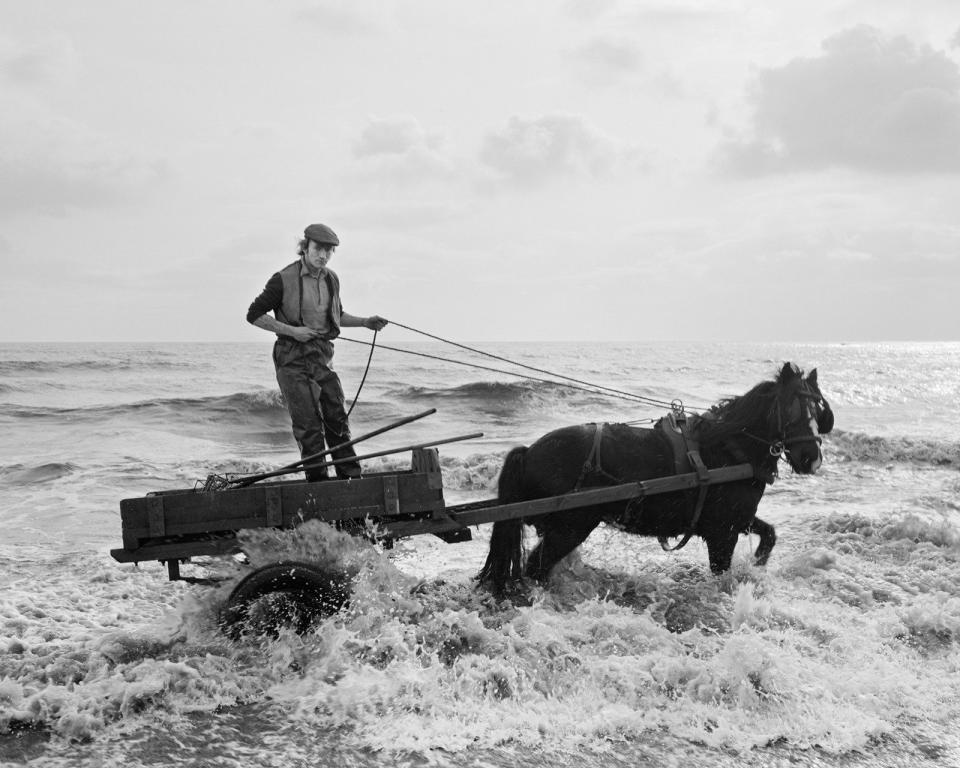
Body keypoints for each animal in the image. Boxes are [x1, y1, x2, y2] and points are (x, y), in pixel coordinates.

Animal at [478, 364, 832, 592]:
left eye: (819, 411)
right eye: (791, 408)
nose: (811, 458)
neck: (727, 448)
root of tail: (529, 452)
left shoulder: (737, 519)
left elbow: (769, 534)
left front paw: (758, 564)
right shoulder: (723, 533)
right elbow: (722, 575)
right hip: (570, 527)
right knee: (535, 568)